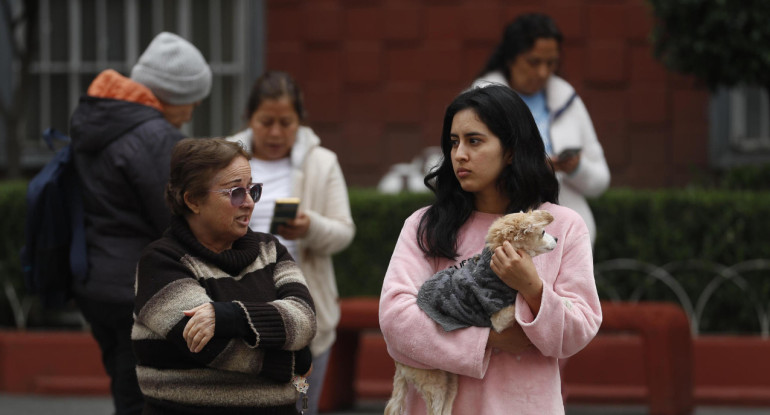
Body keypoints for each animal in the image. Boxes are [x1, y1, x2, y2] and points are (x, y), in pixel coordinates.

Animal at [388, 211, 556, 415]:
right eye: (543, 232)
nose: (557, 238)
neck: (492, 269)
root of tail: (398, 363)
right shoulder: (498, 314)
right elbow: (516, 305)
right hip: (433, 379)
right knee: (435, 407)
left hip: (451, 377)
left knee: (446, 404)